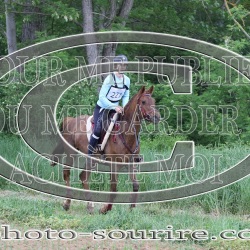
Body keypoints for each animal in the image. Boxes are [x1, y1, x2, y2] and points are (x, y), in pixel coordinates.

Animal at [50, 85, 160, 213]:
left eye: (154, 101)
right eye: (143, 102)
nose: (157, 117)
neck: (125, 132)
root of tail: (70, 120)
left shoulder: (131, 162)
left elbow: (136, 185)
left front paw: (131, 208)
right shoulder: (114, 163)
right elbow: (113, 187)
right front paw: (105, 209)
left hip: (92, 159)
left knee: (83, 177)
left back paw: (89, 206)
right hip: (71, 153)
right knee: (67, 173)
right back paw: (68, 203)